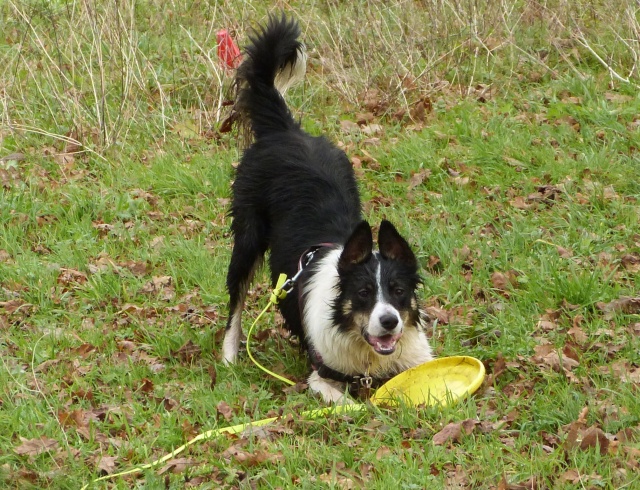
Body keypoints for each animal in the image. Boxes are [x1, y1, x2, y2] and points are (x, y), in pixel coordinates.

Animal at [221, 16, 436, 406]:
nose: (390, 321)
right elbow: (354, 406)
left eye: (398, 290)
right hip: (246, 238)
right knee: (237, 300)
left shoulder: (418, 357)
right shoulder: (320, 375)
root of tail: (285, 131)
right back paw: (229, 355)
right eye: (363, 293)